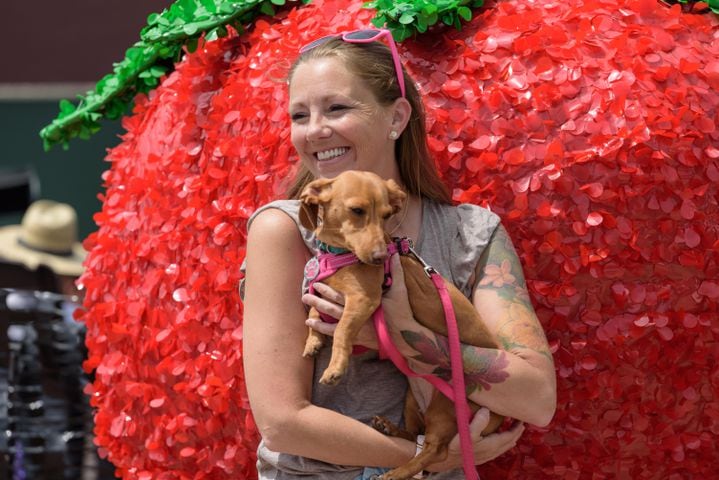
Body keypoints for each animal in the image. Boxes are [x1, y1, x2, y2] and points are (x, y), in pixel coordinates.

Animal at [298, 171, 506, 478]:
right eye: (356, 210)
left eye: (387, 215)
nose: (380, 258)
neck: (338, 255)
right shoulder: (325, 289)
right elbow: (313, 308)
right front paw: (313, 340)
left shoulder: (363, 299)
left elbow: (343, 329)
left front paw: (335, 367)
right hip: (412, 399)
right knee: (414, 436)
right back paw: (389, 428)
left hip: (447, 405)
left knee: (436, 450)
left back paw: (396, 473)